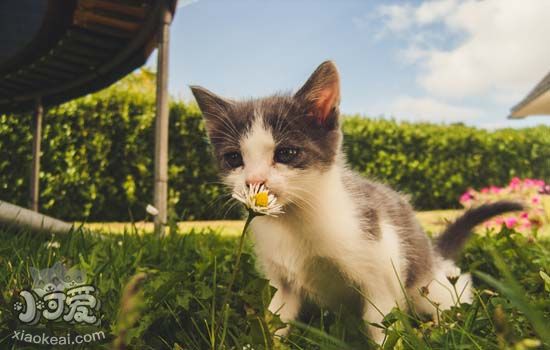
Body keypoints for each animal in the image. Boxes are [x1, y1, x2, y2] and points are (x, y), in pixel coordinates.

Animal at [192, 61, 524, 344]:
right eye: (234, 158)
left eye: (286, 153)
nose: (254, 181)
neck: (296, 220)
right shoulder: (281, 281)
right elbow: (276, 319)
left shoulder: (381, 267)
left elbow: (381, 324)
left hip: (425, 281)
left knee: (452, 289)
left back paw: (445, 324)